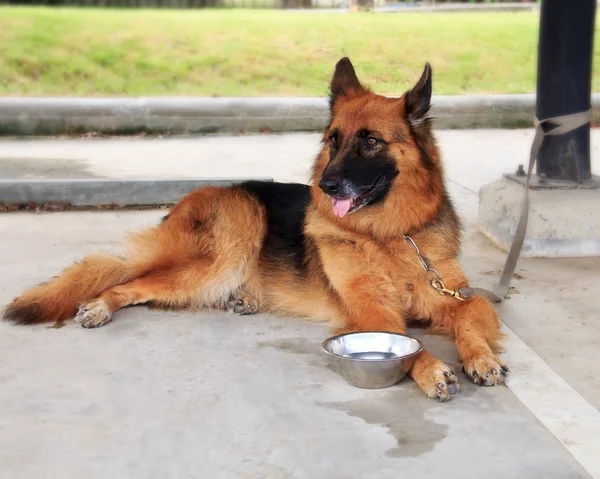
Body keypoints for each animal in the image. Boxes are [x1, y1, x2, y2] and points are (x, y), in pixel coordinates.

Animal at [3, 58, 506, 404]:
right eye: (334, 141)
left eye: (370, 141)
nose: (324, 186)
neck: (390, 235)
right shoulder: (372, 311)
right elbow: (408, 342)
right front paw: (432, 369)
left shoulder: (456, 297)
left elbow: (471, 318)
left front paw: (480, 357)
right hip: (227, 246)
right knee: (128, 281)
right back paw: (100, 305)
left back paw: (244, 298)